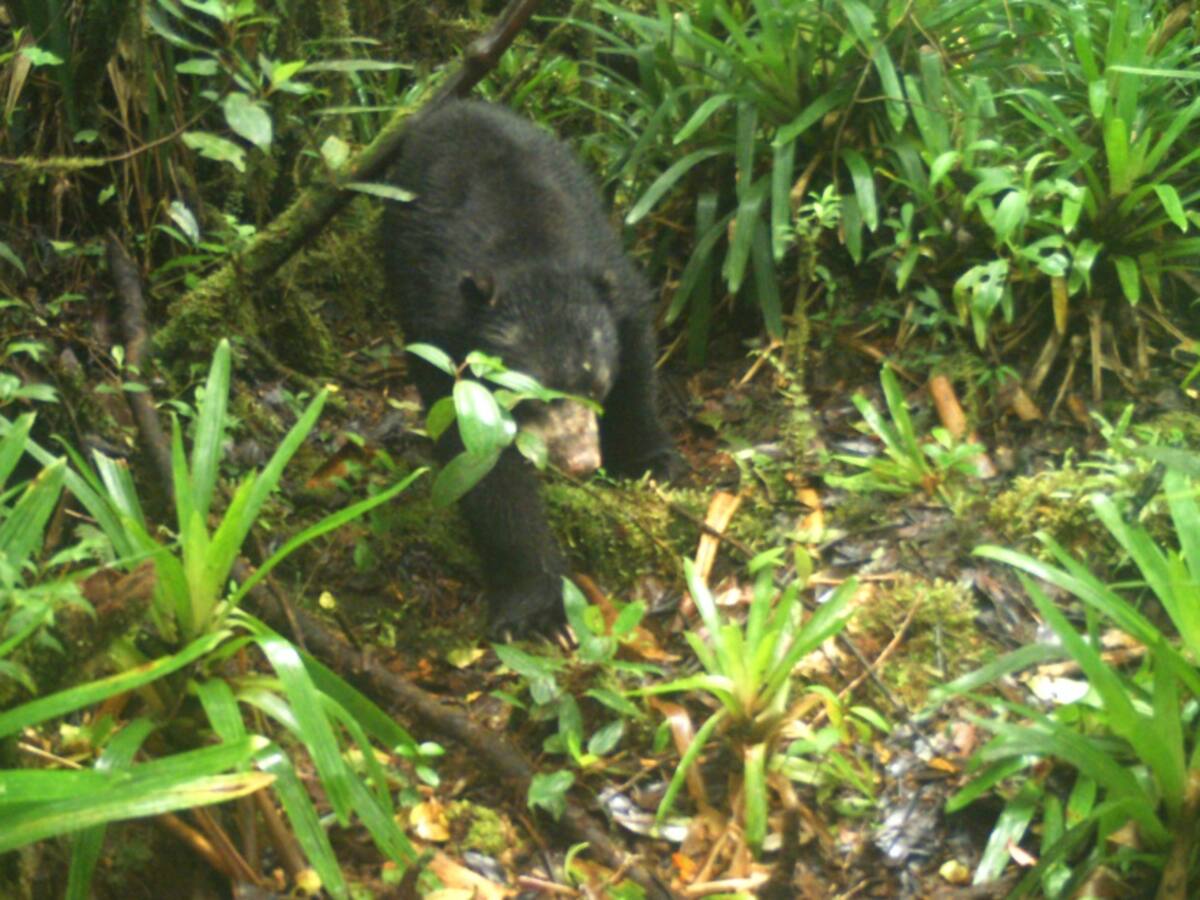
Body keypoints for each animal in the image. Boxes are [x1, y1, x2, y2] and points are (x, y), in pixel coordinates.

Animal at [380, 100, 676, 637]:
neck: (531, 262)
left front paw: (651, 461)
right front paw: (539, 613)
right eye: (529, 397)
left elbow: (638, 365)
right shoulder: (444, 337)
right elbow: (480, 459)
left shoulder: (613, 280)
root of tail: (456, 105)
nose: (582, 462)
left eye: (595, 386)